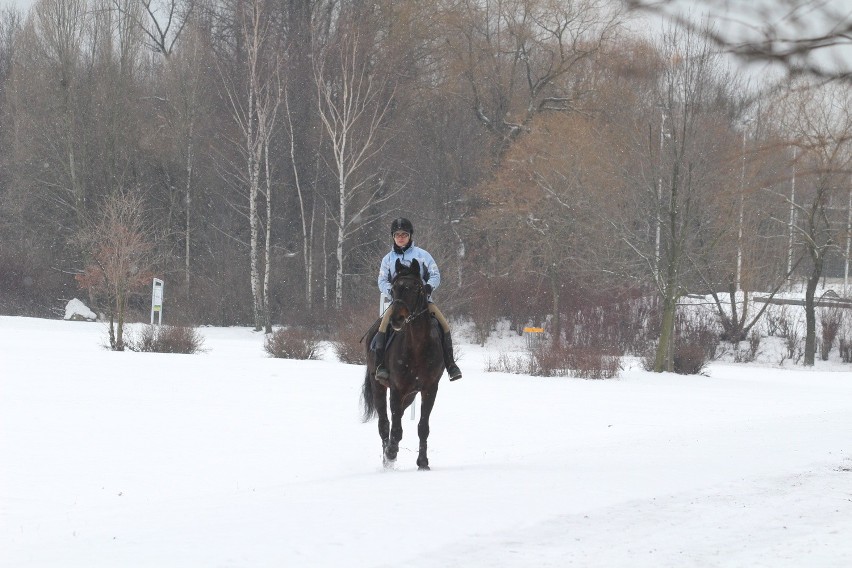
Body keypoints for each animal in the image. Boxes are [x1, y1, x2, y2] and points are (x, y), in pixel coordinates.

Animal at [360, 258, 446, 470]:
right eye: (393, 289)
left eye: (415, 287)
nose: (396, 319)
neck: (418, 345)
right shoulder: (397, 388)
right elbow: (396, 428)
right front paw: (391, 453)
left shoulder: (429, 389)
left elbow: (423, 427)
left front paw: (423, 462)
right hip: (379, 388)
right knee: (385, 424)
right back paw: (387, 459)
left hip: (410, 395)